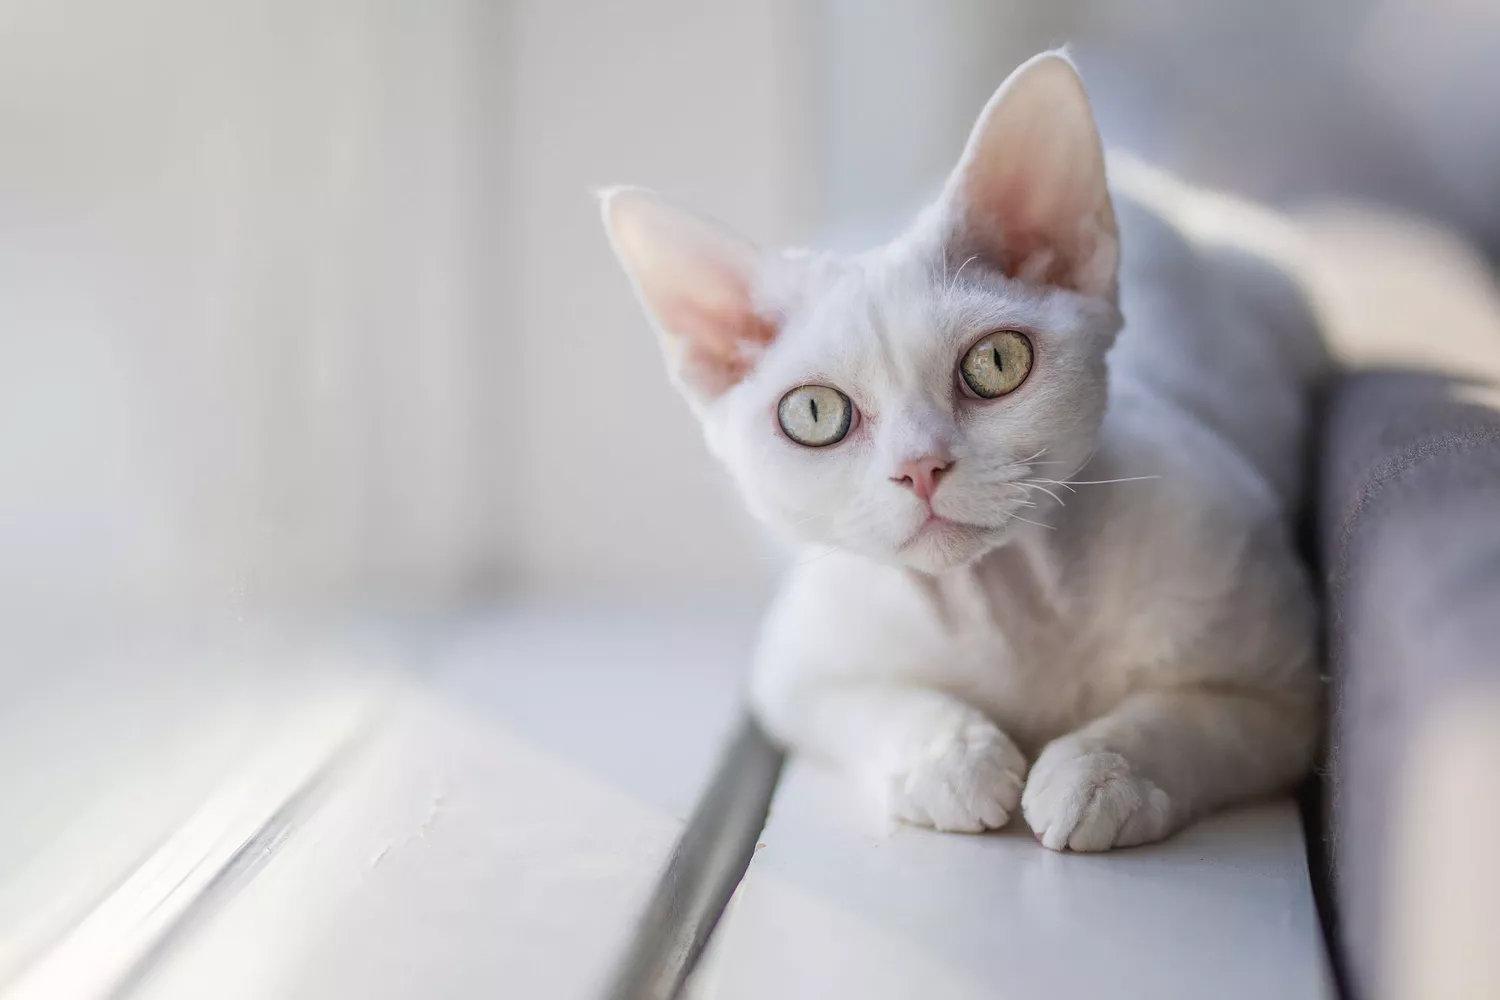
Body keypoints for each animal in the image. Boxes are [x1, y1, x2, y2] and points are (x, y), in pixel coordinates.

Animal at [597, 52, 1326, 851]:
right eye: (814, 413)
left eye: (997, 363)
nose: (920, 467)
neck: (1006, 604)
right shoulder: (795, 675)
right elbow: (881, 706)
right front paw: (951, 758)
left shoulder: (1290, 695)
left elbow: (1190, 720)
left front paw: (1104, 771)